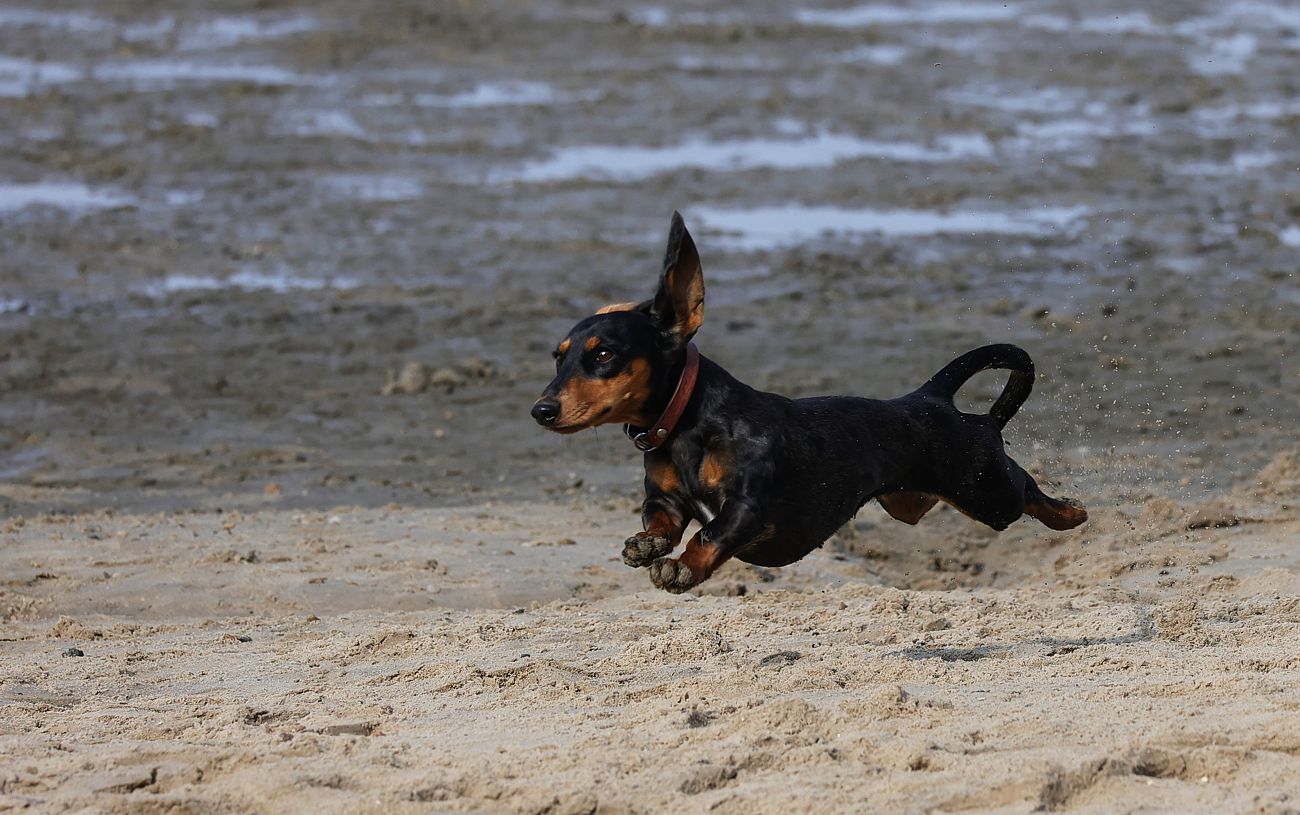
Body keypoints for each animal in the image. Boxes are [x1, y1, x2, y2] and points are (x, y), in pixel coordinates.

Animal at [527, 210, 1086, 592]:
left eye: (603, 354)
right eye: (558, 358)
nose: (541, 411)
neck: (688, 425)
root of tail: (929, 397)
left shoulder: (748, 507)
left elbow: (710, 535)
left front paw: (682, 566)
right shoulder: (664, 499)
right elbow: (660, 518)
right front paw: (649, 544)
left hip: (986, 489)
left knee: (1027, 489)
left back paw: (1070, 514)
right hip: (911, 499)